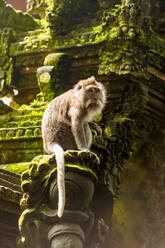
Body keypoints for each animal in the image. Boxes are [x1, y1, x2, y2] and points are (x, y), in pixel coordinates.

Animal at [41, 75, 105, 217]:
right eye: (90, 91)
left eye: (96, 90)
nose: (95, 98)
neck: (79, 96)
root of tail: (50, 143)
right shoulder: (77, 107)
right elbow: (77, 125)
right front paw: (85, 150)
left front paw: (94, 126)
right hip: (66, 138)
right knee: (81, 126)